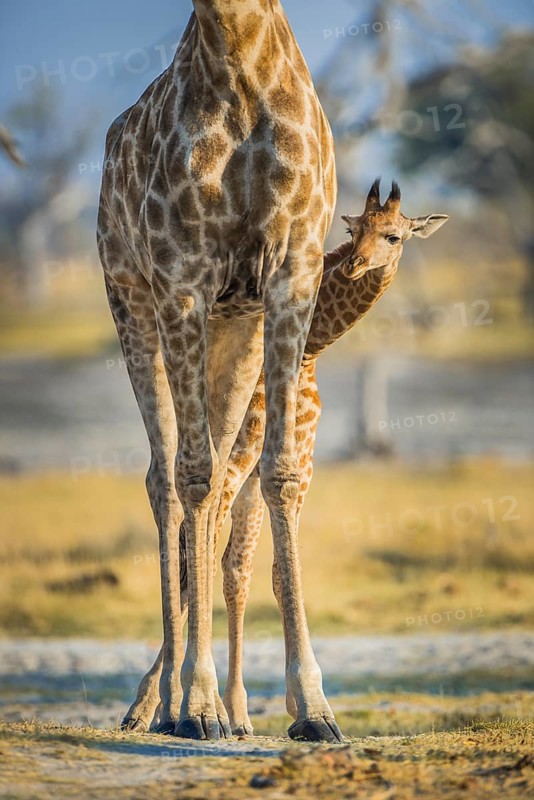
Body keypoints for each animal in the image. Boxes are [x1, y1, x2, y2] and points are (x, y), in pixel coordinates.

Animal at [97, 1, 337, 741]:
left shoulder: (292, 270)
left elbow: (279, 472)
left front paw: (313, 707)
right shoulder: (182, 276)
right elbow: (193, 474)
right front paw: (200, 702)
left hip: (234, 330)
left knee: (217, 488)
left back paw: (184, 704)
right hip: (129, 297)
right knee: (167, 479)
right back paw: (167, 704)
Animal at [121, 180, 449, 737]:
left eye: (394, 234)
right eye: (353, 231)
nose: (356, 265)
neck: (314, 342)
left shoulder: (260, 466)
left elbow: (241, 569)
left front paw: (240, 709)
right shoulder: (293, 446)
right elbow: (254, 563)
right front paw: (284, 706)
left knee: (184, 522)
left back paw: (180, 704)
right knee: (196, 532)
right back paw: (164, 704)